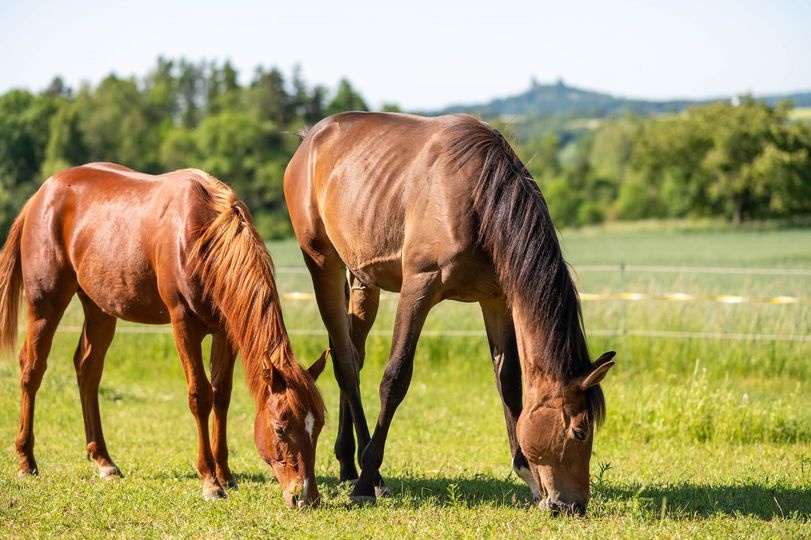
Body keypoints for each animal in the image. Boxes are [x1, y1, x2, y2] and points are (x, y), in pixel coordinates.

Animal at [0, 163, 326, 506]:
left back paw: (103, 460)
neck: (202, 233)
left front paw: (225, 473)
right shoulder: (183, 324)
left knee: (87, 369)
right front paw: (210, 481)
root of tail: (41, 195)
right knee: (32, 370)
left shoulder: (225, 332)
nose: (306, 496)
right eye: (280, 428)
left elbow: (221, 395)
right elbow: (200, 396)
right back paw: (26, 460)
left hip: (100, 310)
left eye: (318, 426)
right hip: (45, 304)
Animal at [286, 110, 616, 516]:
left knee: (354, 354)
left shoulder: (496, 299)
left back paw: (349, 462)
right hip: (323, 264)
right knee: (346, 363)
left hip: (362, 279)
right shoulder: (419, 286)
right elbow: (395, 378)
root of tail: (310, 139)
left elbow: (508, 380)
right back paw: (369, 475)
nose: (573, 506)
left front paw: (528, 476)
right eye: (580, 431)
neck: (477, 198)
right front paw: (367, 482)